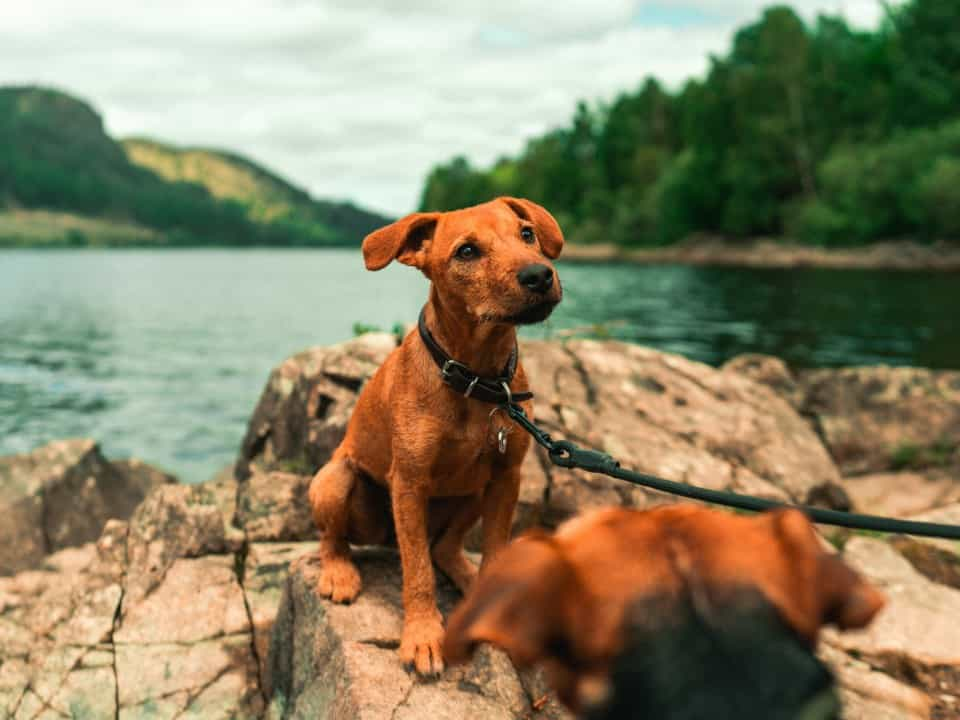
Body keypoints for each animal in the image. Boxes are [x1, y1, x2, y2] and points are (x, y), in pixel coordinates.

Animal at [308, 195, 564, 676]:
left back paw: (465, 575)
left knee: (445, 547)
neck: (476, 378)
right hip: (334, 480)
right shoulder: (409, 484)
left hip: (472, 492)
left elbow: (494, 552)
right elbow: (417, 573)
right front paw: (423, 636)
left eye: (526, 234)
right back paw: (339, 573)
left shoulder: (506, 477)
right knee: (336, 538)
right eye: (466, 252)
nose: (539, 275)